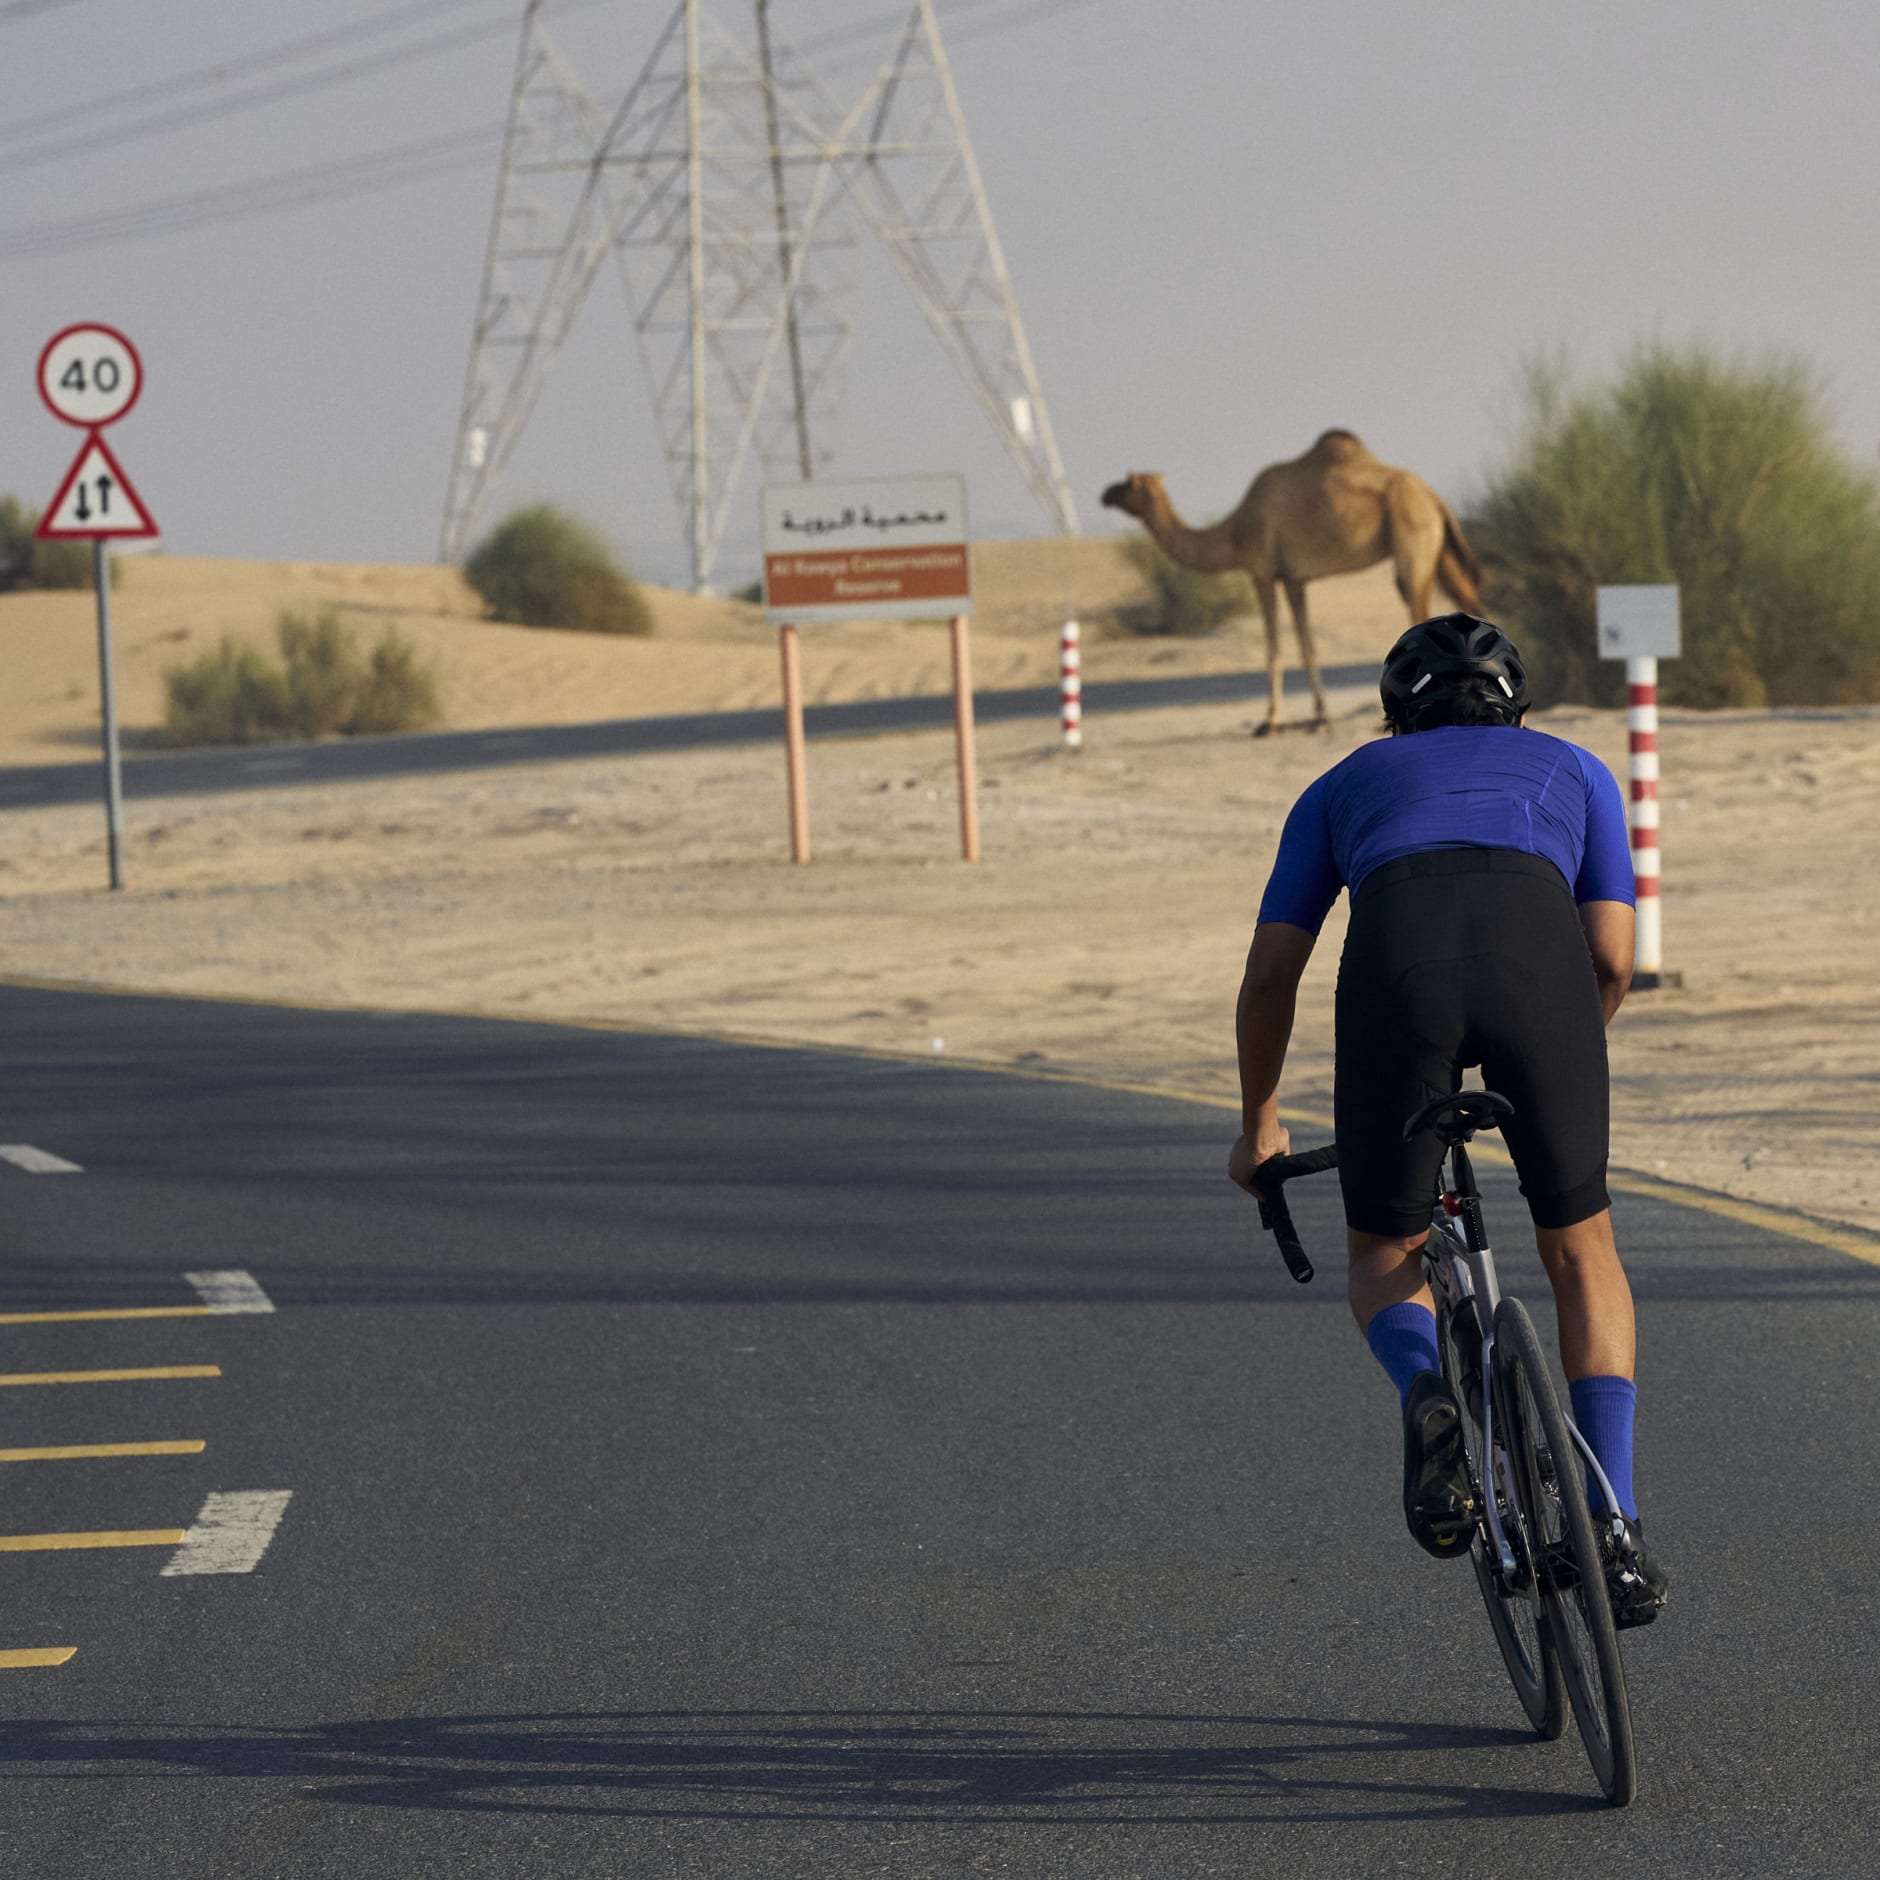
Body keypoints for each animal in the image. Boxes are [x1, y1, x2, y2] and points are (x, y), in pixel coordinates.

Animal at [1097, 432, 1481, 733]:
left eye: (1127, 483)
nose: (1105, 493)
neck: (1232, 533)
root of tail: (1434, 497)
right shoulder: (1295, 579)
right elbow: (1307, 646)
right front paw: (1319, 717)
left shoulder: (1261, 571)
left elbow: (1274, 650)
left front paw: (1270, 721)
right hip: (1435, 545)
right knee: (1466, 596)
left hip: (1411, 536)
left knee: (1416, 606)